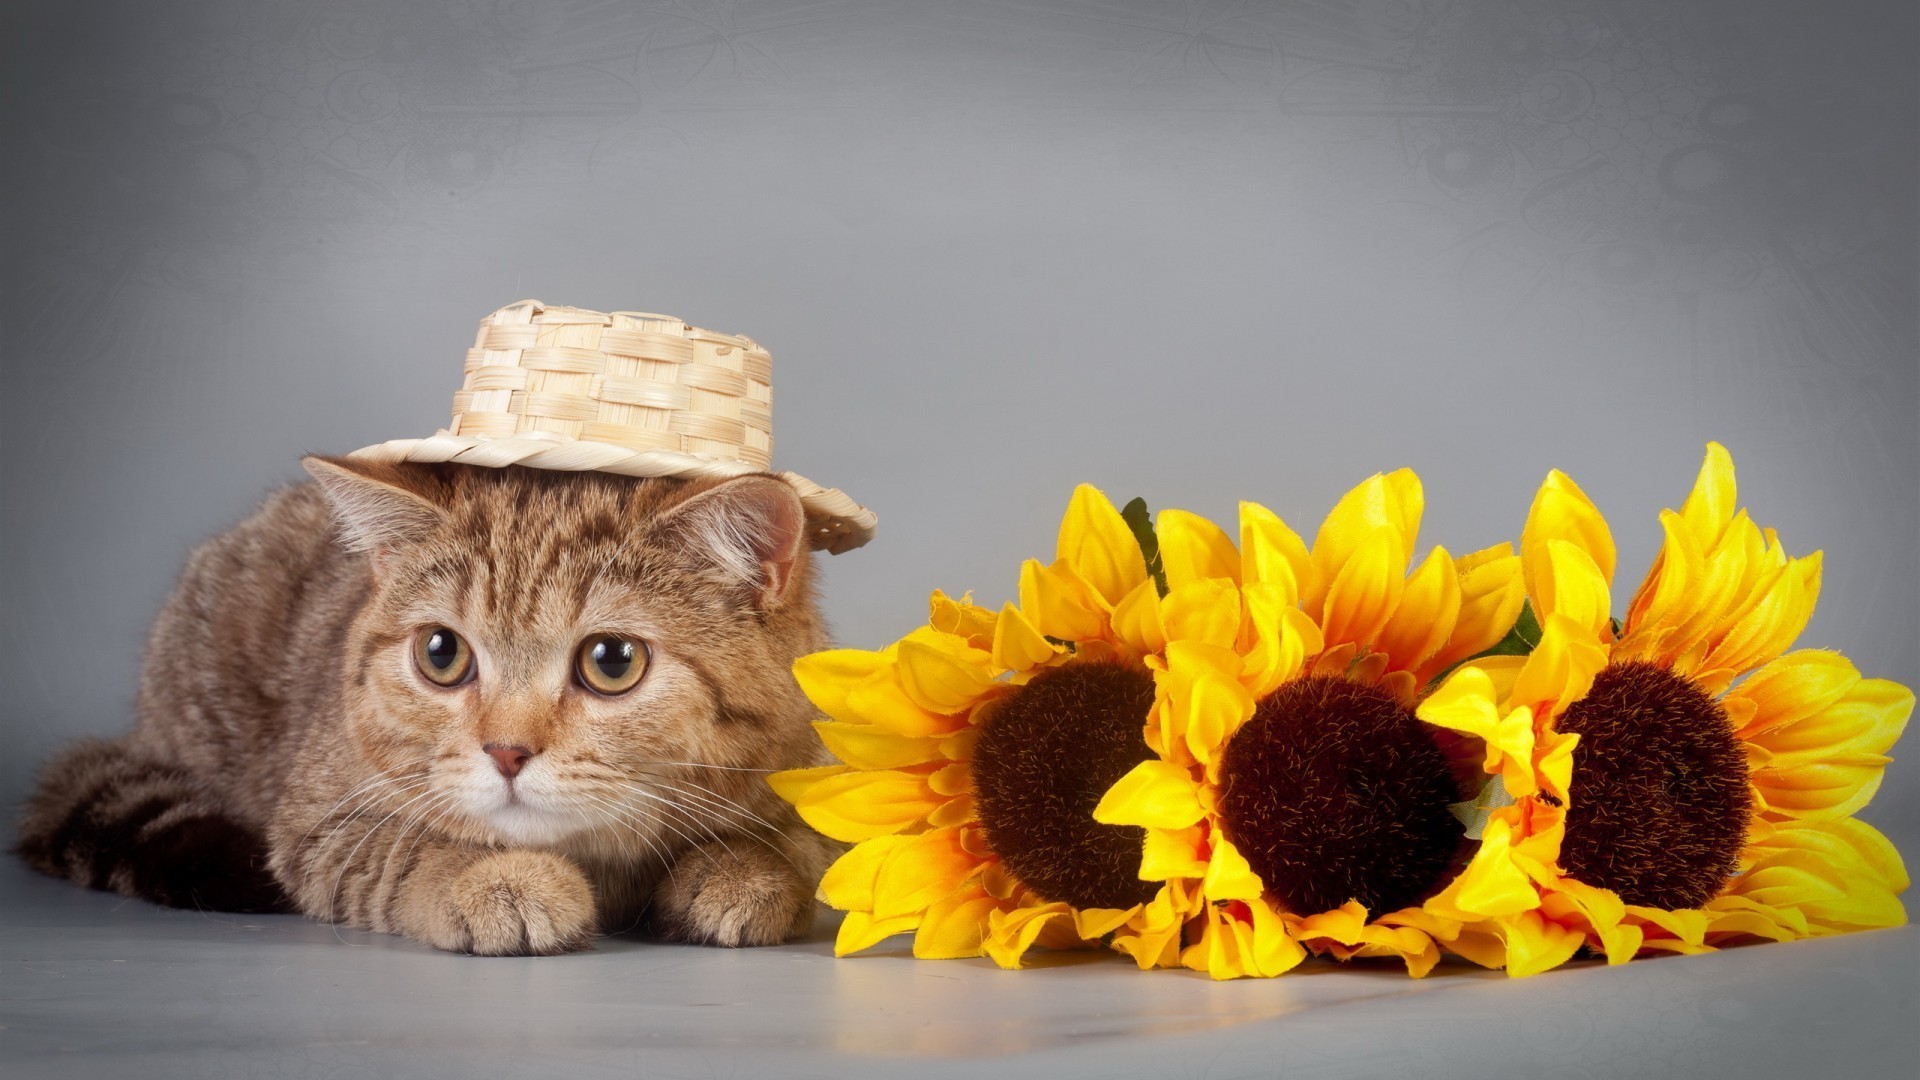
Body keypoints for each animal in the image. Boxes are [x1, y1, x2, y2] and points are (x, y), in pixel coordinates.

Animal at [15, 453, 840, 949]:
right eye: (442, 655)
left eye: (612, 662)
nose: (506, 751)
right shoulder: (320, 820)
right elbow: (411, 850)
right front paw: (495, 879)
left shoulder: (805, 772)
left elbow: (794, 846)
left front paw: (743, 869)